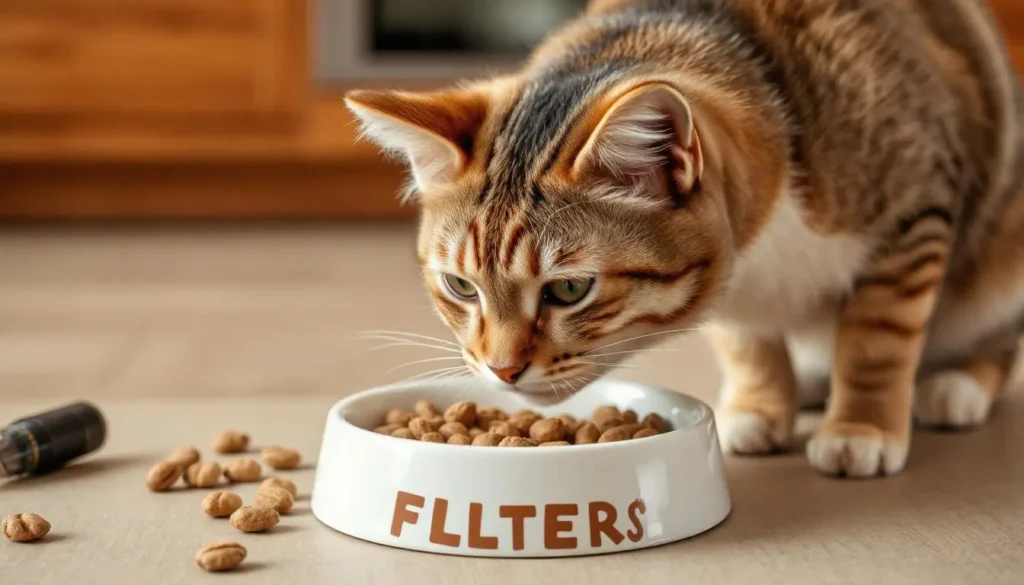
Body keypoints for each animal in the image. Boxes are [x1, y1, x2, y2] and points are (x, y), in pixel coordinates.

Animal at [346, 0, 1024, 477]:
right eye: (460, 286)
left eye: (570, 289)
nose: (501, 370)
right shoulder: (730, 282)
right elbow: (749, 342)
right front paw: (760, 406)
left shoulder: (916, 210)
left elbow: (877, 342)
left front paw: (861, 429)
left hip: (1003, 251)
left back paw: (955, 385)